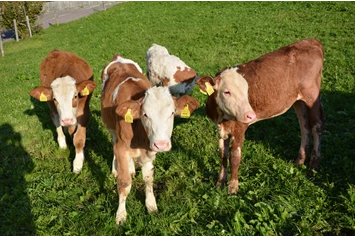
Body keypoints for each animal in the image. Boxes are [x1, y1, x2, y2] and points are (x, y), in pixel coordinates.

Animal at [101, 52, 200, 225]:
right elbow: (124, 183)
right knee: (113, 142)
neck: (140, 136)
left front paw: (151, 205)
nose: (161, 144)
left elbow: (148, 179)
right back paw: (115, 168)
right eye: (145, 114)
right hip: (110, 127)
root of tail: (118, 58)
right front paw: (121, 215)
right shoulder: (121, 147)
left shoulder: (149, 151)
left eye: (172, 113)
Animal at [196, 38, 326, 194]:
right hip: (298, 100)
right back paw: (299, 161)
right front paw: (220, 182)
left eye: (247, 91)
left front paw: (233, 187)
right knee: (304, 125)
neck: (223, 118)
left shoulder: (240, 127)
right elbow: (222, 155)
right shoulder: (220, 128)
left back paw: (314, 165)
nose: (251, 115)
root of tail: (311, 41)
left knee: (317, 126)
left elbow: (234, 156)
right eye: (227, 92)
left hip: (312, 96)